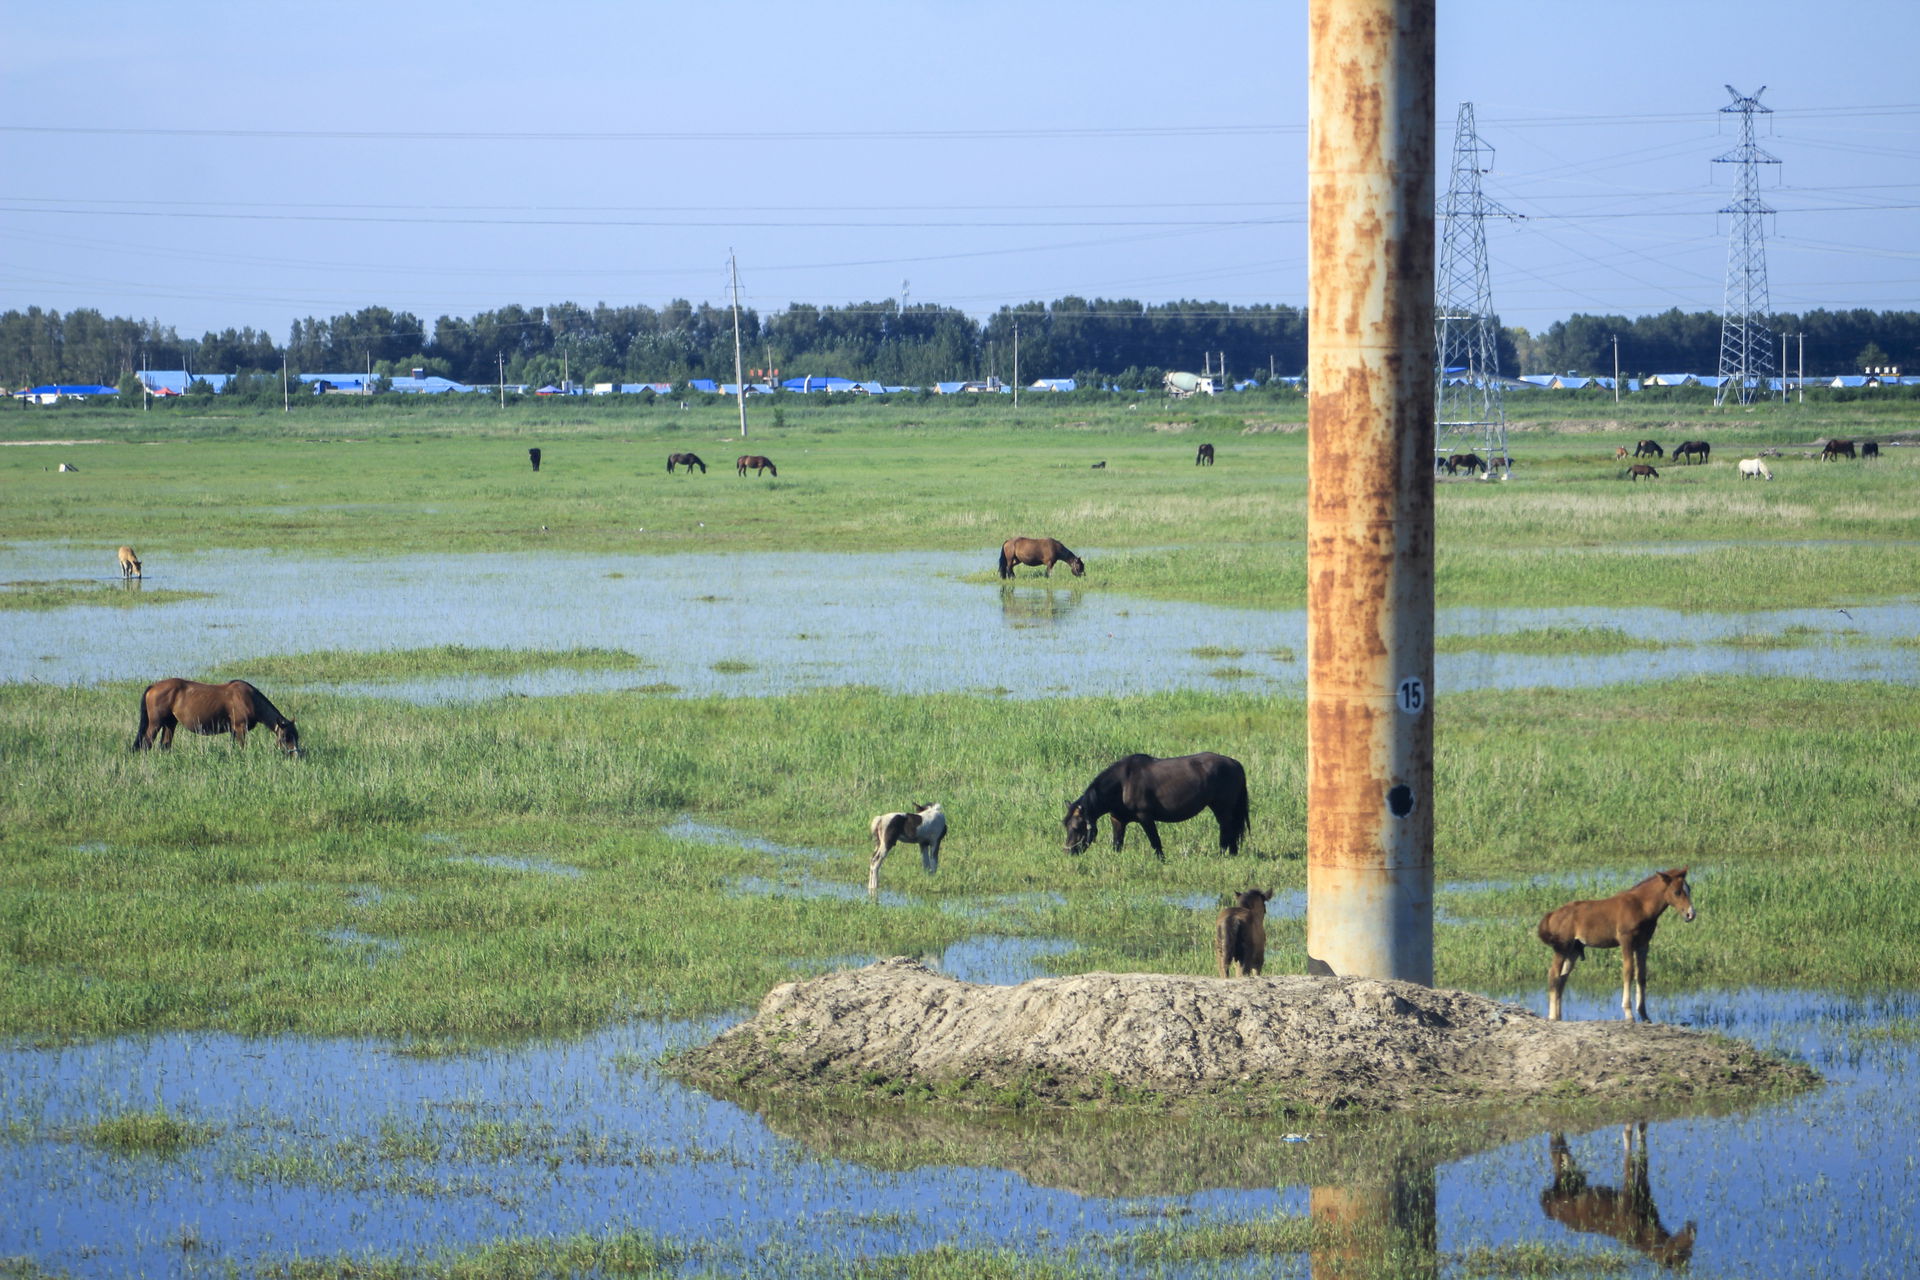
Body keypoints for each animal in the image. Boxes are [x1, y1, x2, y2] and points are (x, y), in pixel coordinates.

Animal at [131, 678, 302, 756]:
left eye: (296, 736)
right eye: (285, 737)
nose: (295, 755)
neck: (249, 699)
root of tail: (154, 686)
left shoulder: (233, 730)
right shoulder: (240, 728)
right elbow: (242, 746)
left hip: (170, 724)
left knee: (165, 745)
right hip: (155, 724)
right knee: (146, 743)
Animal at [1063, 752, 1249, 858]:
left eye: (1077, 827)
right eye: (1066, 826)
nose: (1067, 851)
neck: (1123, 784)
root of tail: (1234, 763)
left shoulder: (1145, 817)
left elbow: (1155, 841)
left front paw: (1161, 860)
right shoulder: (1117, 820)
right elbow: (1117, 844)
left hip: (1222, 808)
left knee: (1226, 829)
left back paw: (1223, 854)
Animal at [1537, 867, 1694, 1022]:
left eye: (1689, 889)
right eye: (1677, 892)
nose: (1691, 914)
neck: (1640, 906)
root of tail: (1551, 915)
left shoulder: (1643, 944)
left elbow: (1641, 975)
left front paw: (1644, 1015)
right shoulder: (1626, 940)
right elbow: (1628, 971)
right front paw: (1629, 1013)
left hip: (1573, 950)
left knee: (1562, 978)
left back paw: (1559, 1016)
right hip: (1562, 947)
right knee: (1553, 974)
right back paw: (1552, 1016)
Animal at [1541, 1125, 1696, 1270]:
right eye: (1680, 1253)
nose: (1692, 1228)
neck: (1650, 1228)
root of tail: (1547, 1207)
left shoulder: (1644, 1194)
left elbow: (1642, 1150)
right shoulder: (1627, 1197)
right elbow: (1629, 1153)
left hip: (1577, 1180)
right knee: (1557, 1153)